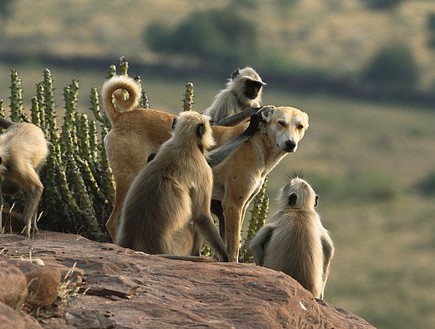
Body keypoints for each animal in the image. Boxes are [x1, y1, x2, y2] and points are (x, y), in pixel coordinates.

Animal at [117, 111, 230, 262]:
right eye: (209, 125)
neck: (184, 144)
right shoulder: (204, 169)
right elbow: (201, 216)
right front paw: (225, 256)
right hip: (180, 241)